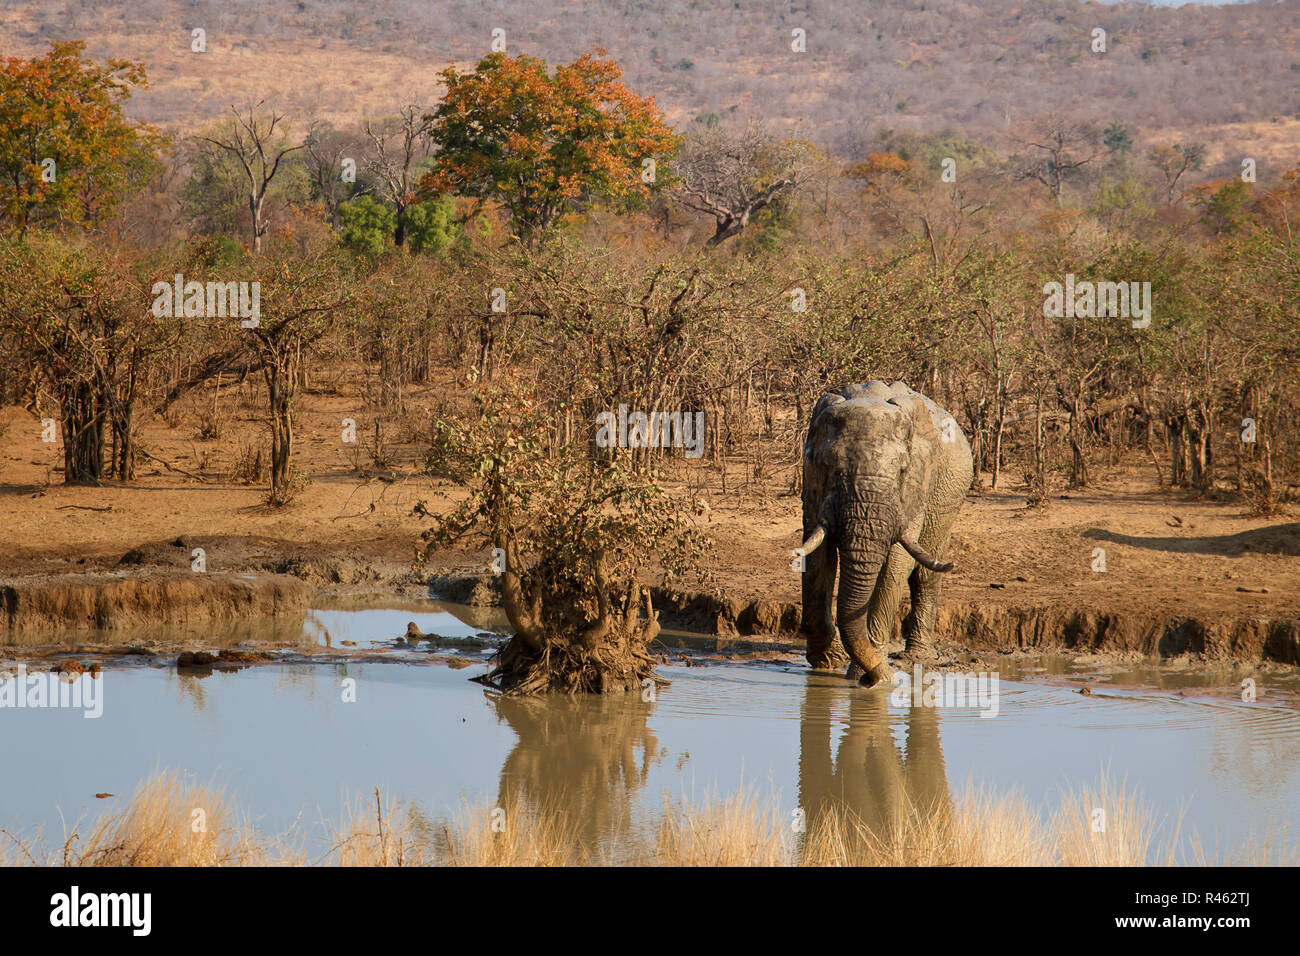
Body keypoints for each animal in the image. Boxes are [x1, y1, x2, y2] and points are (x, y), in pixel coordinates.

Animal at [795, 382, 972, 686]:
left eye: (902, 470)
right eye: (828, 466)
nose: (880, 676)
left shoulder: (916, 488)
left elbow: (895, 565)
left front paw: (873, 680)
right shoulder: (813, 484)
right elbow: (817, 556)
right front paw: (829, 662)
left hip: (948, 500)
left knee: (926, 573)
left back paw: (918, 658)